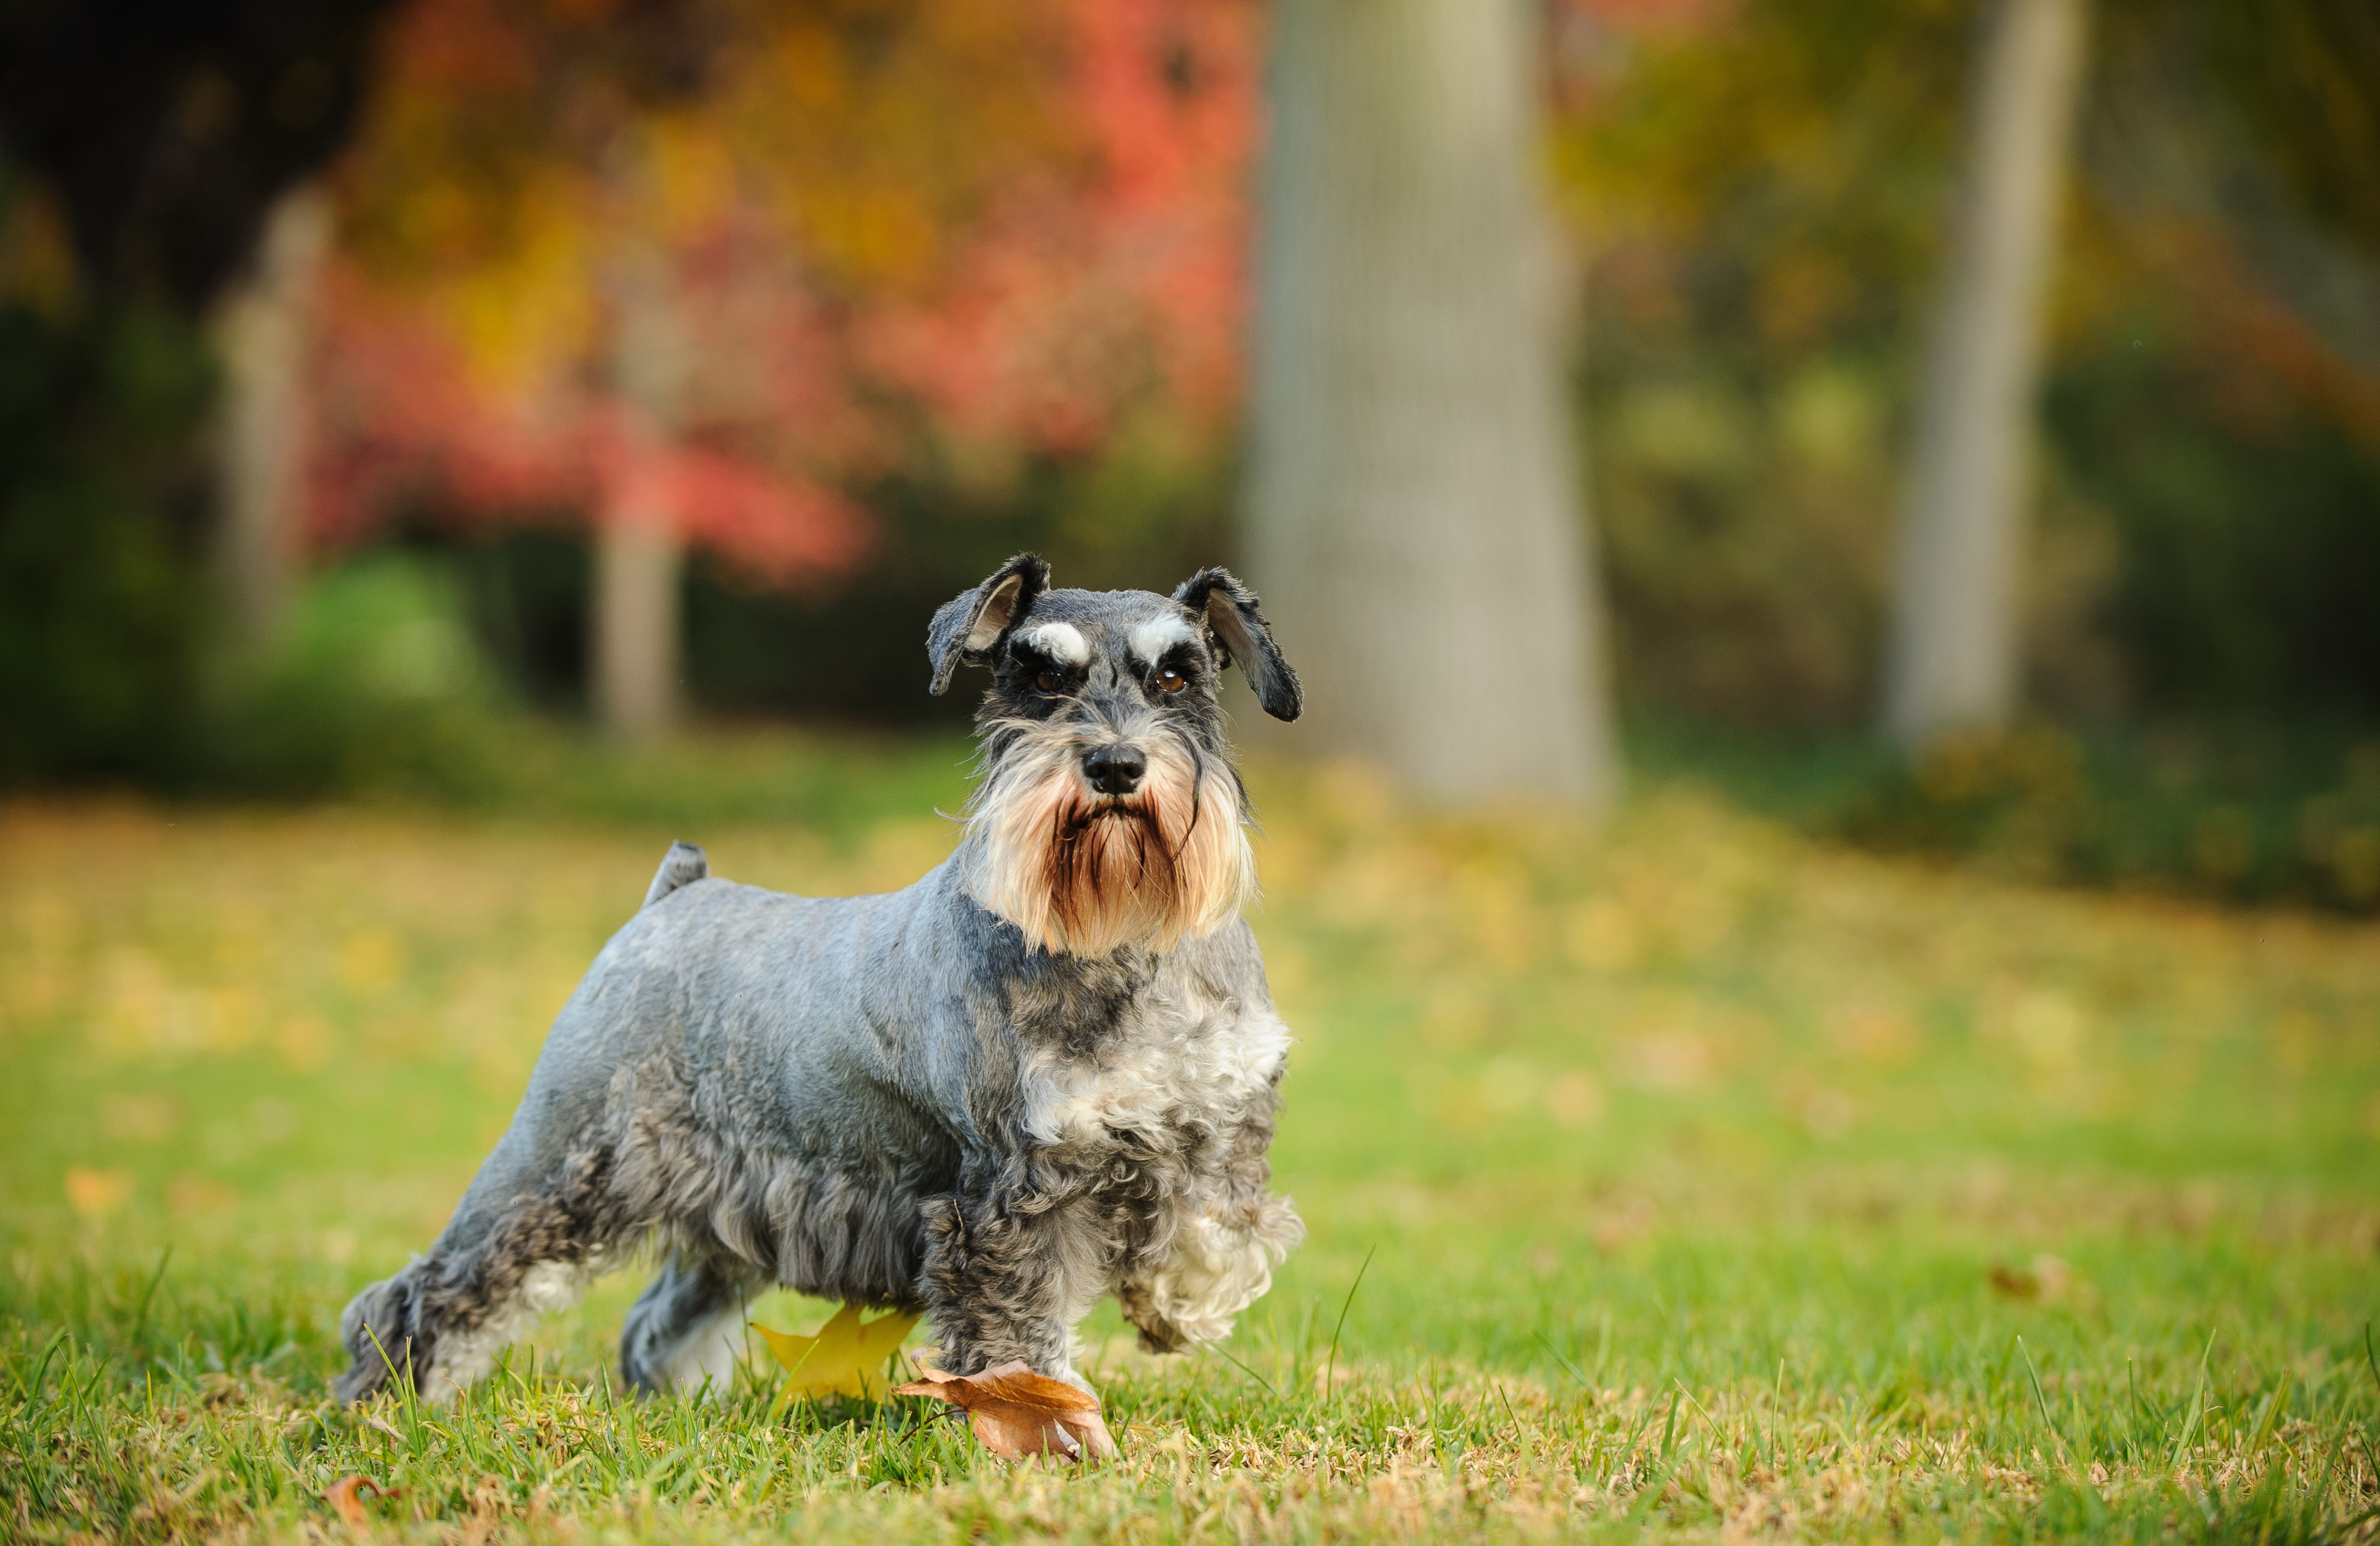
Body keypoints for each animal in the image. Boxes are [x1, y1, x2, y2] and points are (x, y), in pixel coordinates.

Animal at [330, 551, 1304, 1398]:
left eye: (1176, 677)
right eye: (1037, 679)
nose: (1113, 764)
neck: (1126, 944)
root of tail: (675, 894)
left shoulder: (1221, 1127)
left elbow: (1217, 1232)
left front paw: (1172, 1309)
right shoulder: (1007, 1191)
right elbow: (1018, 1328)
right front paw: (1042, 1417)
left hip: (730, 1204)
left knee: (661, 1317)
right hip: (556, 1167)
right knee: (439, 1288)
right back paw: (394, 1401)